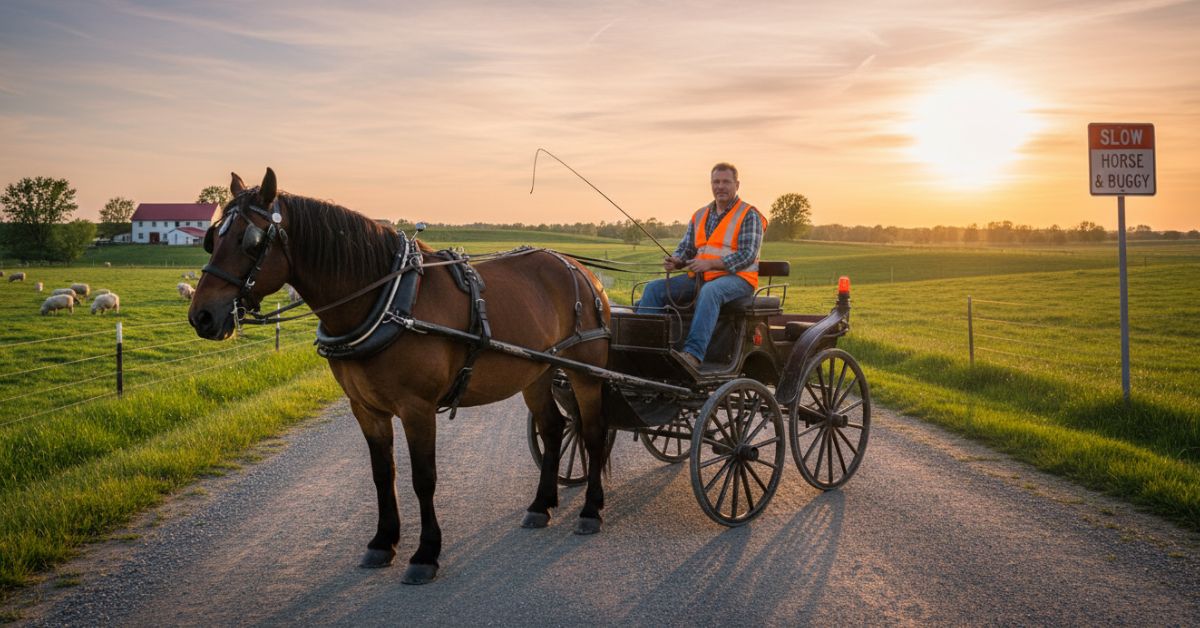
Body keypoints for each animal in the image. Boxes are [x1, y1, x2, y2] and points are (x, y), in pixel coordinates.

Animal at [188, 168, 611, 584]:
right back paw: (541, 505)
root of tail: (582, 271)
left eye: (251, 240)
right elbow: (382, 474)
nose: (202, 316)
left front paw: (425, 553)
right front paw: (382, 542)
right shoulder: (365, 409)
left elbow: (423, 478)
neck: (387, 301)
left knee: (592, 434)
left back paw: (591, 510)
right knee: (554, 428)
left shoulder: (417, 408)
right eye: (213, 238)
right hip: (537, 373)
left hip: (586, 374)